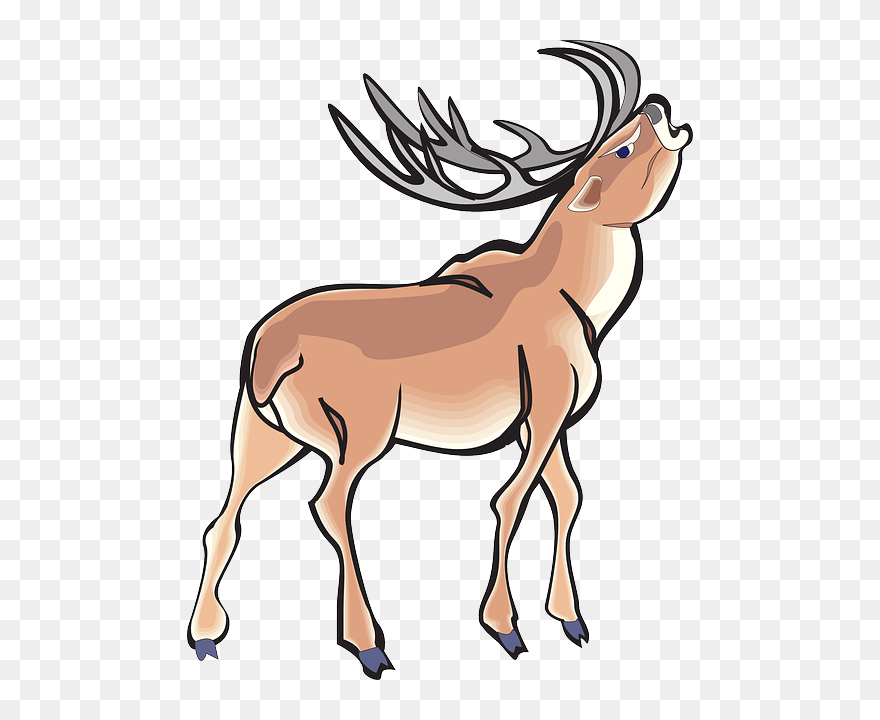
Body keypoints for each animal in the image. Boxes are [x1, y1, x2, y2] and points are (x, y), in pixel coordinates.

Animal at [187, 40, 692, 679]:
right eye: (621, 147)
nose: (658, 103)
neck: (582, 301)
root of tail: (266, 352)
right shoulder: (547, 401)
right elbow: (511, 499)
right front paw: (505, 627)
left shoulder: (547, 421)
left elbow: (569, 496)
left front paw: (571, 619)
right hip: (363, 428)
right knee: (328, 503)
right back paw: (368, 643)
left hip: (260, 431)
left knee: (222, 518)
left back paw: (206, 636)